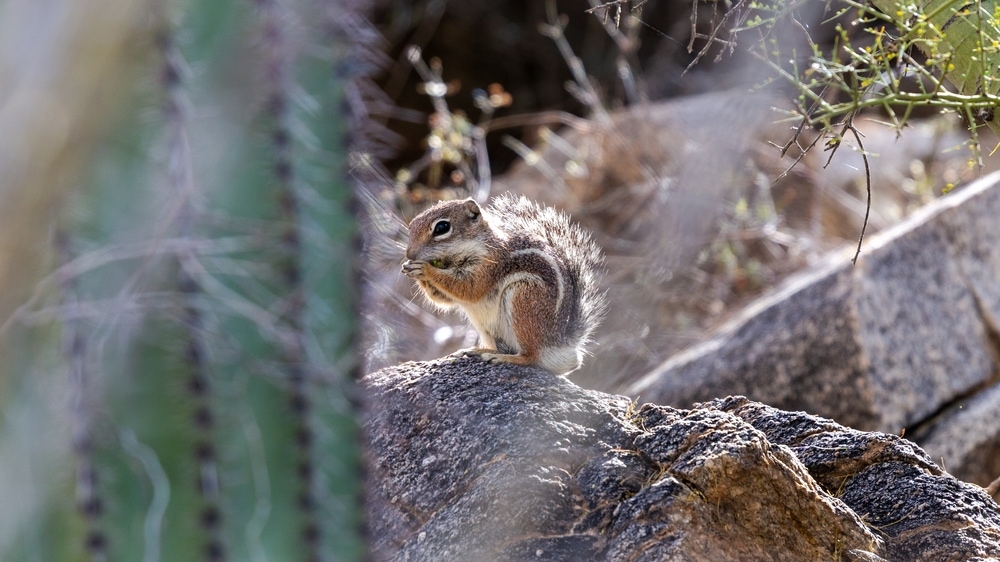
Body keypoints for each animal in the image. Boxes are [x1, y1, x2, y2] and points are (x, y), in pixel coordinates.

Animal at [401, 193, 606, 375]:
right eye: (412, 224)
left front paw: (424, 269)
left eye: (442, 227)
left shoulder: (490, 265)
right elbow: (445, 300)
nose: (409, 254)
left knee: (531, 356)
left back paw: (503, 358)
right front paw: (411, 269)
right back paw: (479, 351)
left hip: (523, 301)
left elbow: (469, 288)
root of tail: (561, 345)